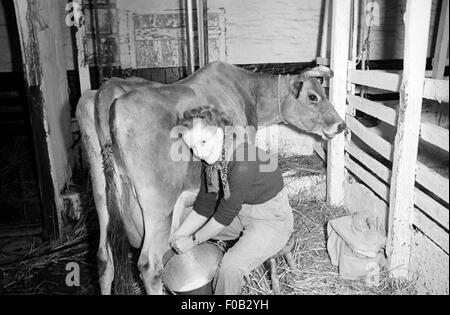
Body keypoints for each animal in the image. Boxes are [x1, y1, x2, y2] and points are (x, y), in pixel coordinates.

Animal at [75, 61, 346, 296]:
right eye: (313, 97)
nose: (341, 125)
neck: (247, 92)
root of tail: (107, 89)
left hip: (101, 196)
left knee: (104, 258)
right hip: (157, 206)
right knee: (149, 266)